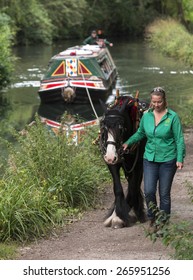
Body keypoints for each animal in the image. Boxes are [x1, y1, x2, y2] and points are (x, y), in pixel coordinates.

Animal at [99, 95, 149, 229]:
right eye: (103, 128)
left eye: (120, 128)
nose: (110, 156)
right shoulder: (112, 164)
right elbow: (118, 189)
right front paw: (115, 215)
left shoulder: (138, 165)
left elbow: (132, 188)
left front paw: (125, 214)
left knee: (135, 185)